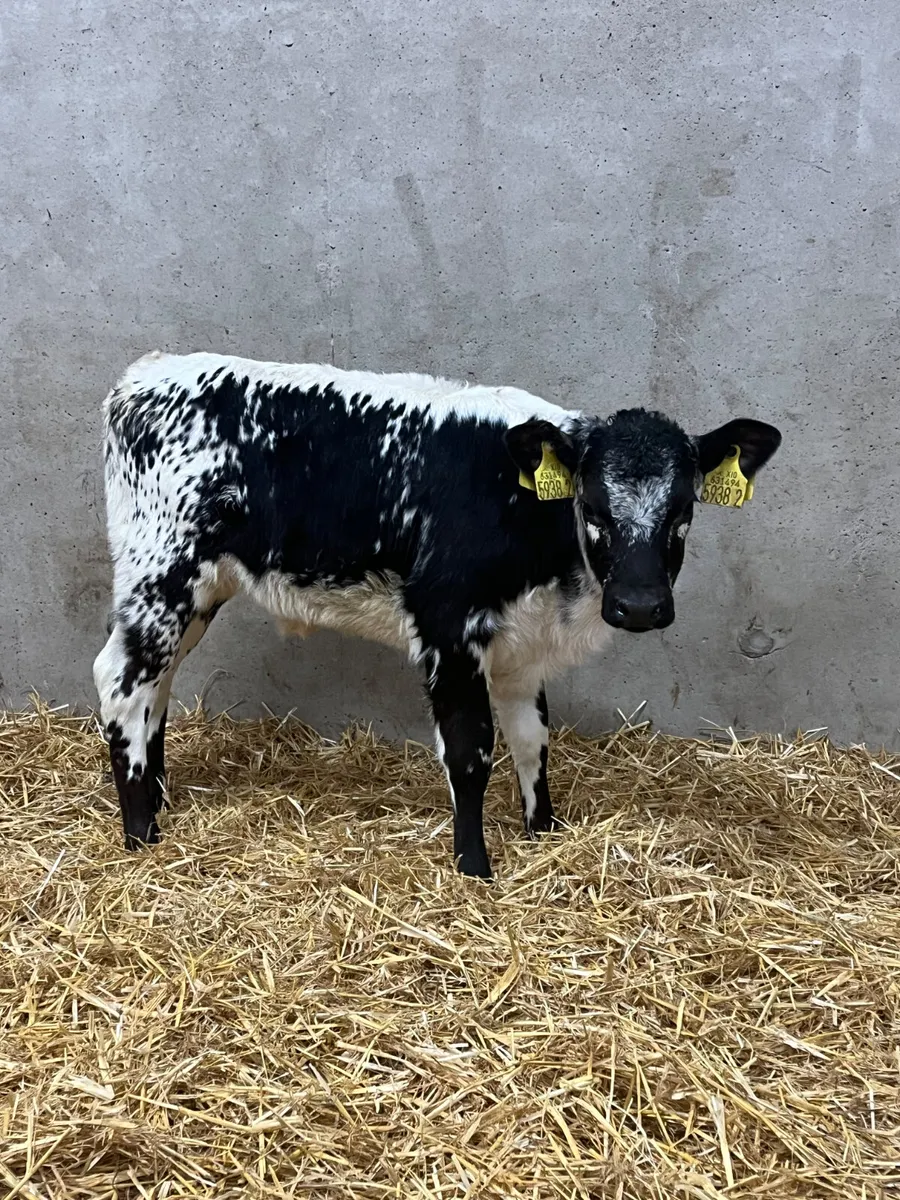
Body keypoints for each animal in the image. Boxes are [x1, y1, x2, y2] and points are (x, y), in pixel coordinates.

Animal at [93, 351, 781, 878]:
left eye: (683, 508)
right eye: (592, 505)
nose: (639, 606)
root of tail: (146, 374)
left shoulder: (521, 645)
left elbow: (532, 738)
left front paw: (544, 833)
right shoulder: (447, 624)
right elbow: (471, 749)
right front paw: (474, 867)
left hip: (198, 591)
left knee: (158, 687)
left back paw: (159, 804)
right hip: (160, 573)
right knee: (121, 683)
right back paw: (140, 834)